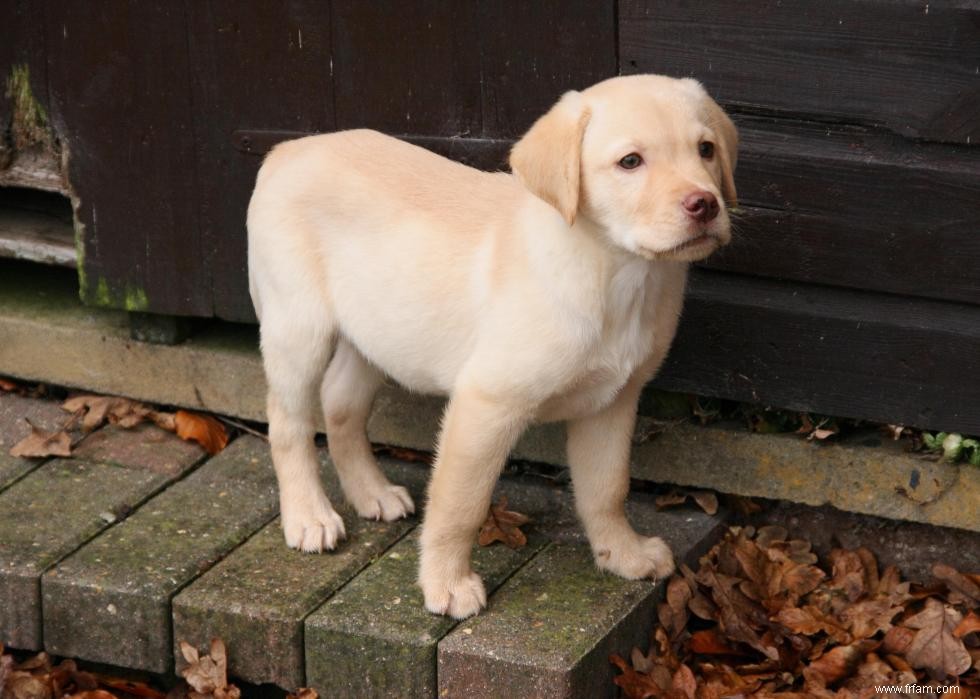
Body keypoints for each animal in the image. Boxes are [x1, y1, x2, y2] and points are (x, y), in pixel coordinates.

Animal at [245, 74, 736, 616]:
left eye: (706, 149)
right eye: (630, 161)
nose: (705, 204)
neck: (616, 271)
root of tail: (288, 149)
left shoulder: (613, 402)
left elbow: (607, 487)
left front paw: (622, 554)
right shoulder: (487, 403)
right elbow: (461, 504)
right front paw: (447, 584)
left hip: (377, 331)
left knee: (340, 405)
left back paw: (370, 492)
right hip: (298, 326)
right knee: (288, 421)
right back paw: (309, 516)